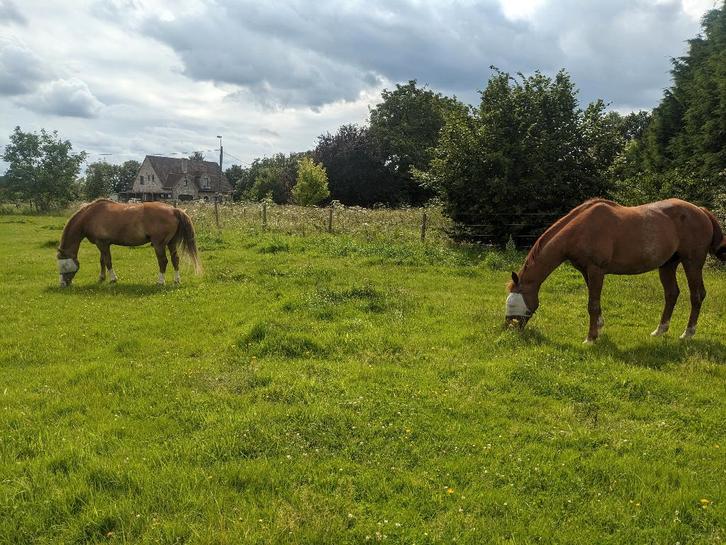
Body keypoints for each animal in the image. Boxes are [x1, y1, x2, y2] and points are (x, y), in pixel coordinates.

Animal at [57, 199, 201, 287]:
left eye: (64, 265)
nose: (63, 284)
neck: (91, 216)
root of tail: (174, 210)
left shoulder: (102, 243)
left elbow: (107, 261)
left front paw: (113, 279)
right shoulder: (103, 244)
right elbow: (102, 260)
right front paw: (101, 278)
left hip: (159, 244)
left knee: (163, 261)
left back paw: (160, 281)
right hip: (171, 243)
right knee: (175, 259)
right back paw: (177, 280)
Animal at [505, 198, 726, 343]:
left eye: (514, 303)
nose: (509, 329)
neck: (580, 229)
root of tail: (700, 211)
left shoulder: (596, 270)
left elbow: (592, 305)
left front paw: (591, 338)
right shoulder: (587, 272)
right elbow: (595, 303)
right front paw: (599, 328)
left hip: (692, 262)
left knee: (697, 295)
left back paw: (688, 333)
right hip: (668, 264)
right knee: (671, 294)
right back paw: (660, 331)